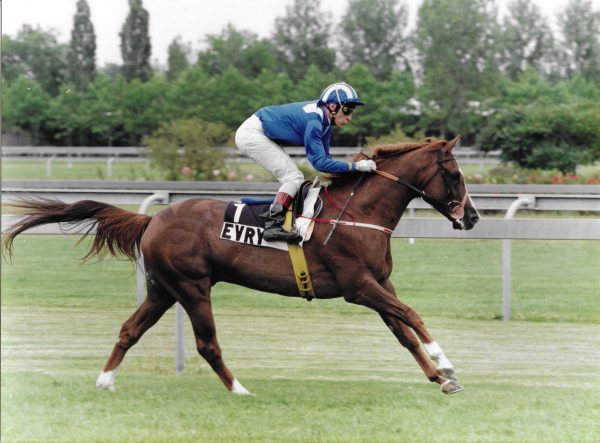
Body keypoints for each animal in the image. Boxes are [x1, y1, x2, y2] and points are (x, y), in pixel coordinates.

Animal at [2, 136, 478, 396]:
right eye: (455, 175)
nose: (472, 217)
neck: (359, 212)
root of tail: (154, 219)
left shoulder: (379, 284)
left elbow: (403, 331)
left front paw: (439, 377)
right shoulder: (358, 286)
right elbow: (413, 316)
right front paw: (447, 364)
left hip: (162, 289)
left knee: (129, 330)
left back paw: (105, 381)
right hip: (192, 287)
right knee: (207, 345)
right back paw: (239, 389)